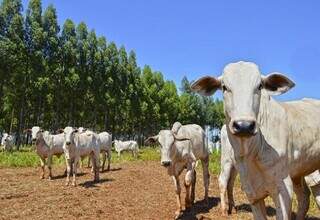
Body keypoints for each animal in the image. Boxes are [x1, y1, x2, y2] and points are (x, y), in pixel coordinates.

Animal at [191, 61, 320, 220]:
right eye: (224, 87)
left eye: (259, 86)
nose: (244, 126)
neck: (251, 152)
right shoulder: (251, 192)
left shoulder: (282, 188)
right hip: (228, 160)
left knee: (303, 197)